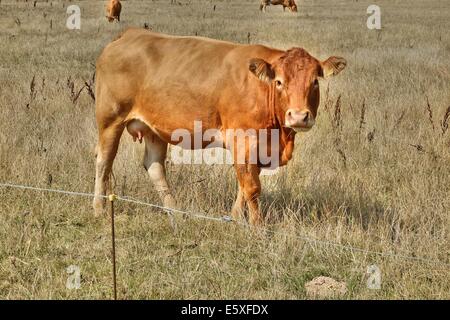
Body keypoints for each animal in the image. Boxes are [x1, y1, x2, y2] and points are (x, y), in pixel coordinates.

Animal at [92, 28, 348, 226]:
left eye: (315, 82)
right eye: (279, 82)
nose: (299, 116)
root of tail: (130, 34)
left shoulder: (257, 148)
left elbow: (245, 184)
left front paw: (234, 218)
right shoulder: (243, 140)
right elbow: (252, 187)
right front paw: (258, 227)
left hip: (154, 129)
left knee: (154, 167)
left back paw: (176, 212)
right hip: (110, 120)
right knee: (104, 161)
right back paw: (98, 208)